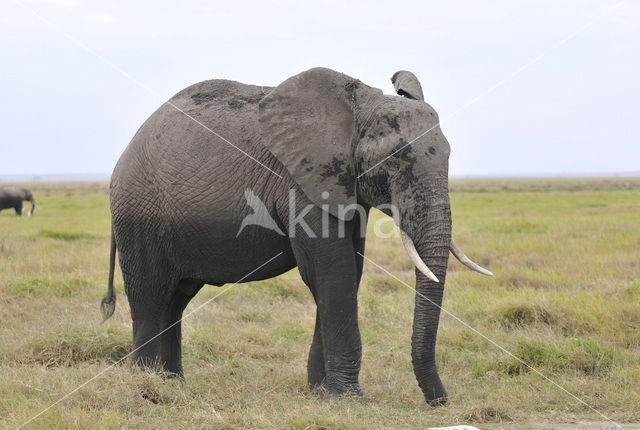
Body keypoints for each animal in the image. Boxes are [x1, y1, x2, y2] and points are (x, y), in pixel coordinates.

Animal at [101, 66, 490, 404]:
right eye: (395, 160)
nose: (440, 402)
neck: (360, 107)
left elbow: (348, 272)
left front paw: (322, 395)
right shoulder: (299, 181)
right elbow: (332, 272)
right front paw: (350, 400)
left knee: (175, 300)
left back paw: (173, 385)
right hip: (139, 215)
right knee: (151, 298)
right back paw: (147, 388)